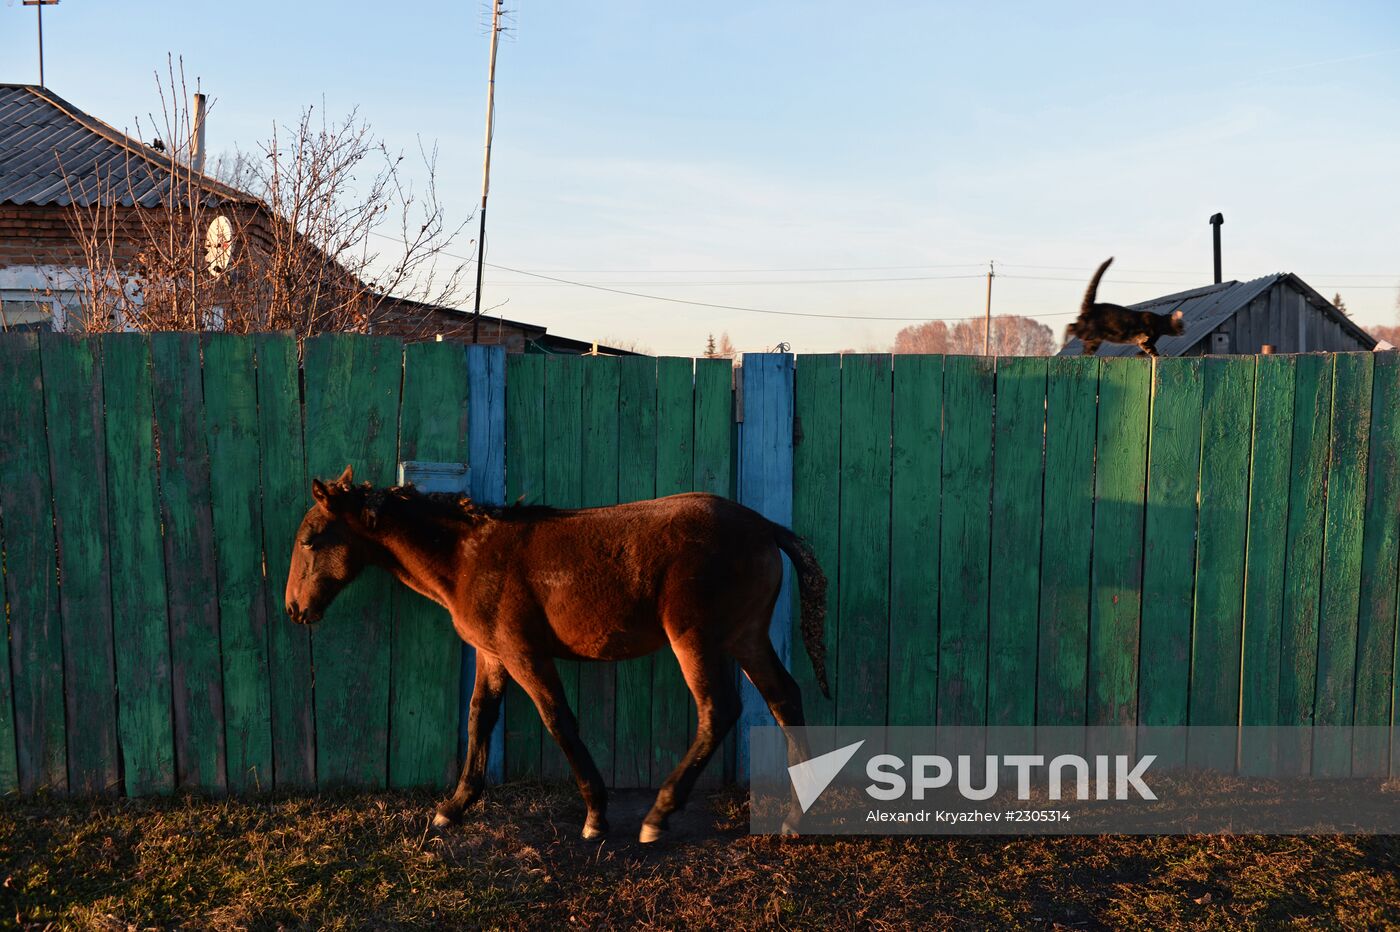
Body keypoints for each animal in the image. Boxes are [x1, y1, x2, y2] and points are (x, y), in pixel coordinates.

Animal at [285, 467, 828, 839]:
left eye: (311, 541)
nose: (294, 609)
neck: (469, 558)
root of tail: (764, 525)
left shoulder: (524, 655)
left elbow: (558, 720)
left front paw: (595, 815)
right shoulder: (493, 656)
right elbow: (479, 719)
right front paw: (453, 807)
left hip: (694, 640)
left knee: (719, 711)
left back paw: (659, 814)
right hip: (745, 637)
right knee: (785, 699)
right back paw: (799, 813)